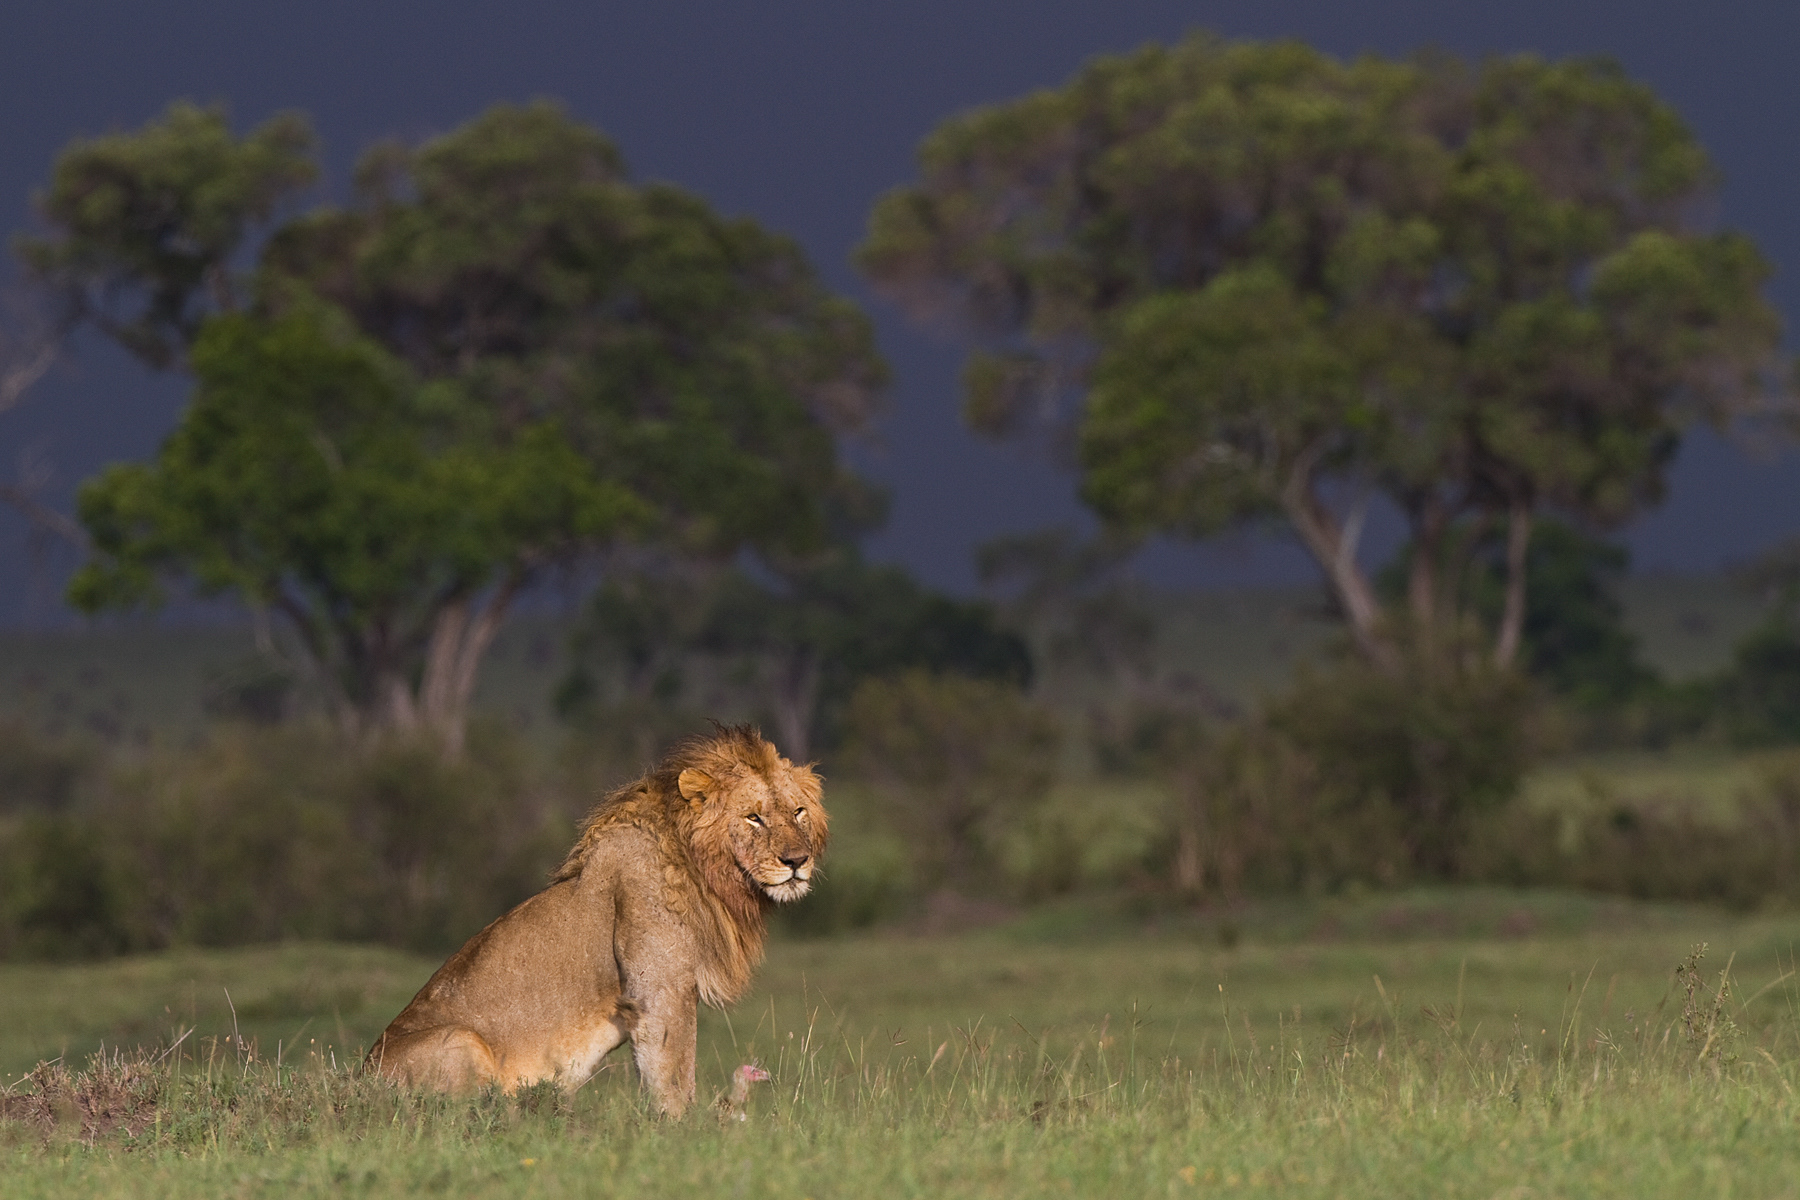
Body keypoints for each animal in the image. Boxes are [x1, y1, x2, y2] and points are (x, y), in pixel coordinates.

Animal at [365, 724, 826, 1115]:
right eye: (754, 817)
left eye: (799, 812)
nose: (797, 861)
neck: (706, 869)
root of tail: (359, 1078)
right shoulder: (660, 990)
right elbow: (673, 1075)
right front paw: (683, 1135)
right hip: (462, 1041)